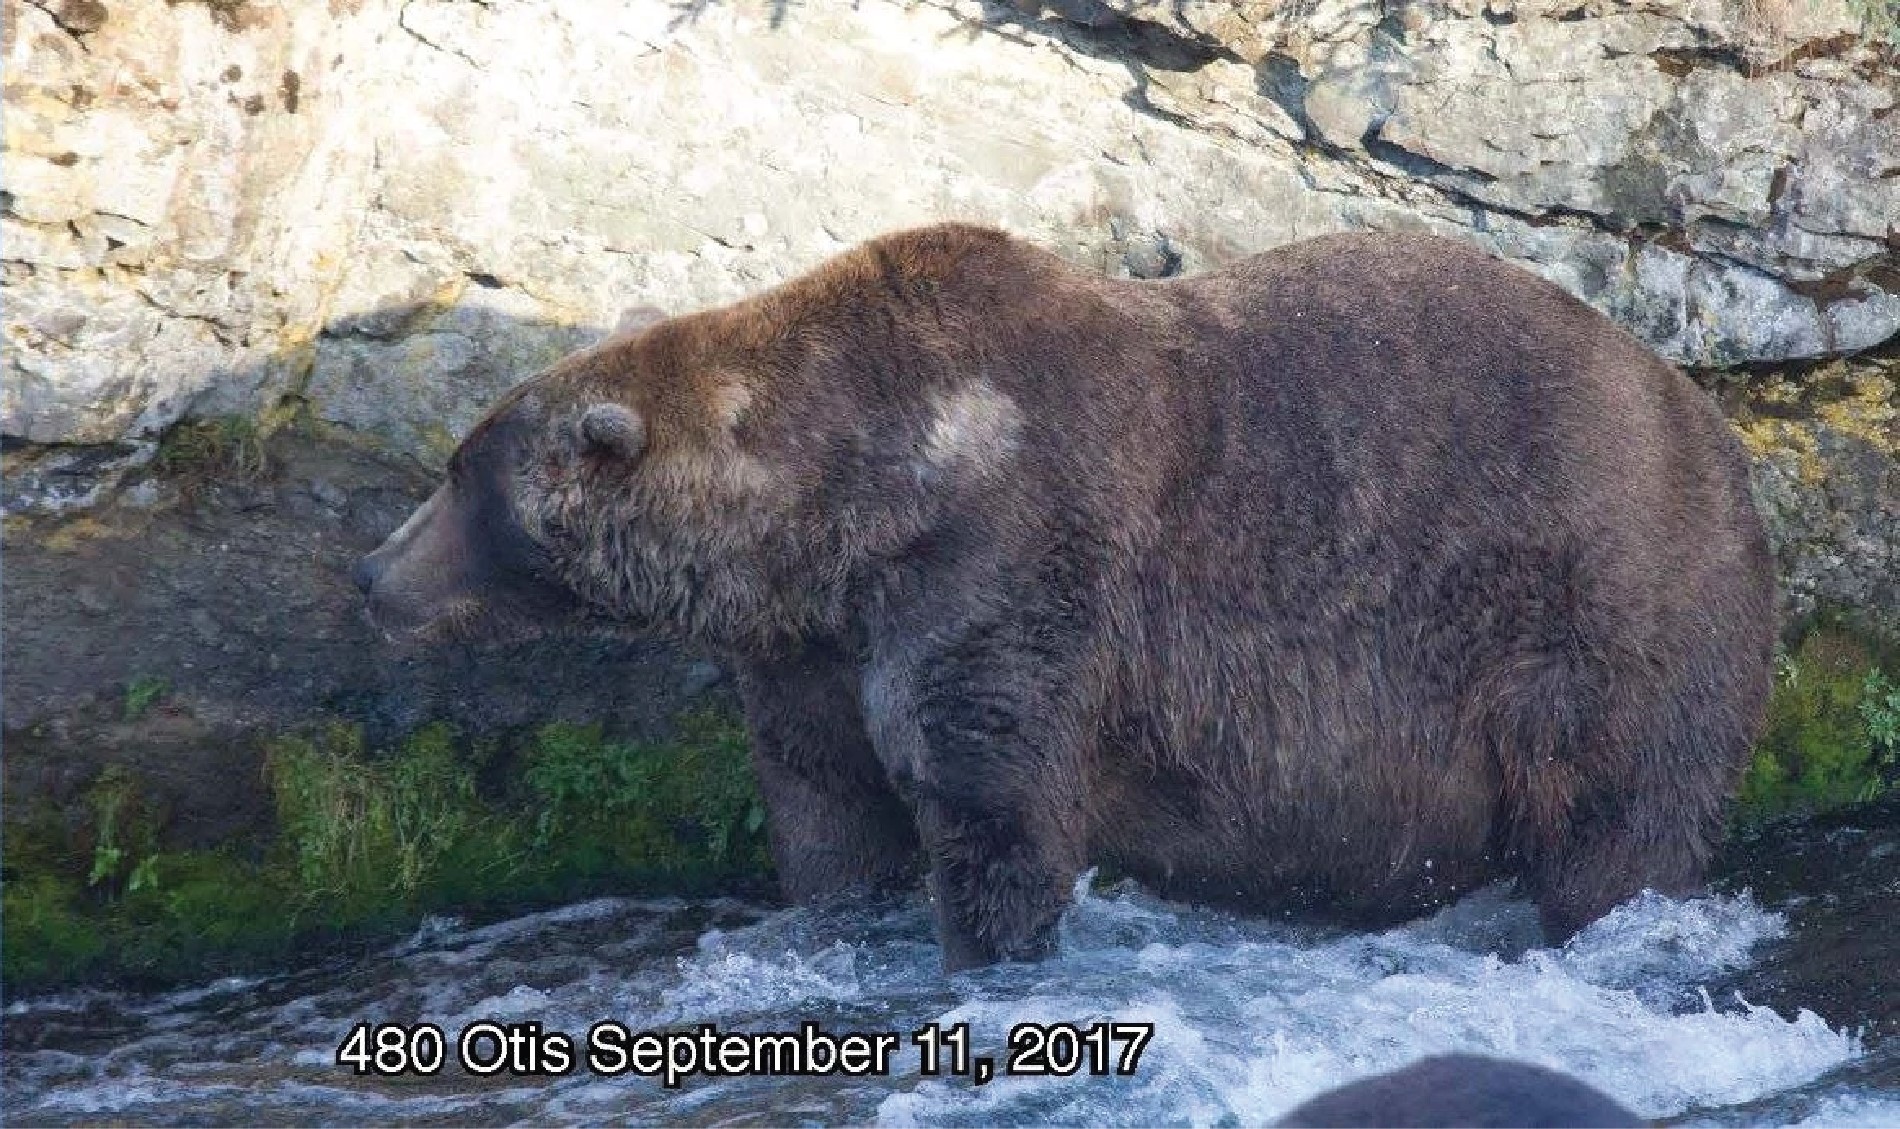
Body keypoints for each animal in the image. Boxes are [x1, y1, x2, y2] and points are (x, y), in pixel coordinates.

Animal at [354, 223, 1777, 970]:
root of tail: (1708, 418)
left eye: (458, 471)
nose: (370, 572)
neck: (845, 502)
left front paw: (986, 948)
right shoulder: (810, 642)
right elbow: (824, 803)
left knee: (1613, 811)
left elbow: (992, 799)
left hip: (1604, 600)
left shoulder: (1003, 565)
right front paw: (832, 917)